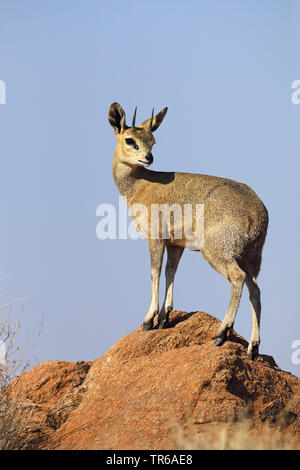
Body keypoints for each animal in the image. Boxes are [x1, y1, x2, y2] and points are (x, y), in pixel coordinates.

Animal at [109, 102, 268, 360]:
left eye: (152, 140)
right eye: (130, 139)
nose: (148, 157)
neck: (140, 185)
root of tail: (257, 212)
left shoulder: (155, 238)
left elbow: (154, 272)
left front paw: (148, 320)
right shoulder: (176, 244)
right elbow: (170, 272)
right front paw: (164, 318)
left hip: (216, 252)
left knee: (238, 279)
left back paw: (221, 334)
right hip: (251, 256)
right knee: (256, 290)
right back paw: (253, 347)